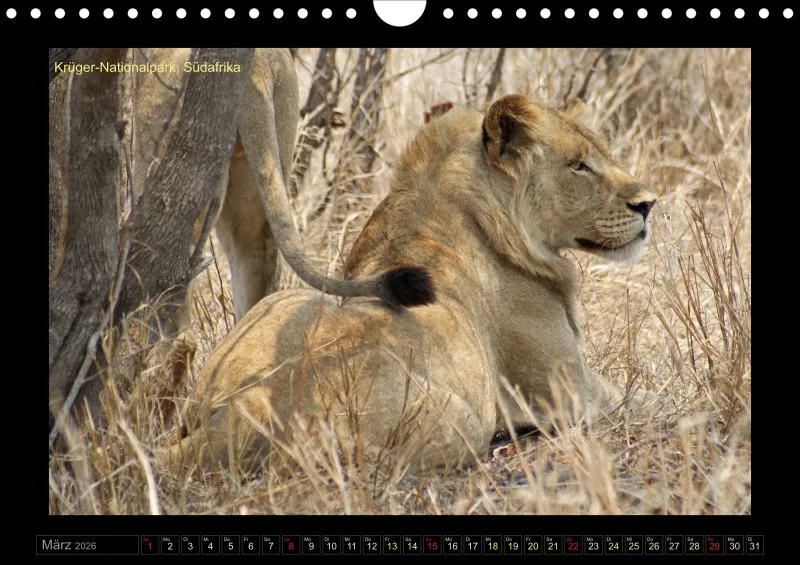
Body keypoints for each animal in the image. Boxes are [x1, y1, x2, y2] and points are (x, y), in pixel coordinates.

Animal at [164, 93, 658, 474]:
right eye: (579, 166)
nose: (649, 203)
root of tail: (249, 409)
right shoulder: (570, 391)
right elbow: (645, 397)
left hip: (287, 300)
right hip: (460, 424)